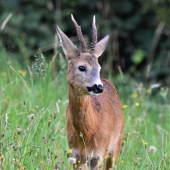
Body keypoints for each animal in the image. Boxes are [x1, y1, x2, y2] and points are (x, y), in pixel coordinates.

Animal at [56, 14, 124, 170]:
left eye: (99, 67)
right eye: (82, 67)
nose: (99, 87)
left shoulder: (98, 154)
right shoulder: (75, 154)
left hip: (116, 145)